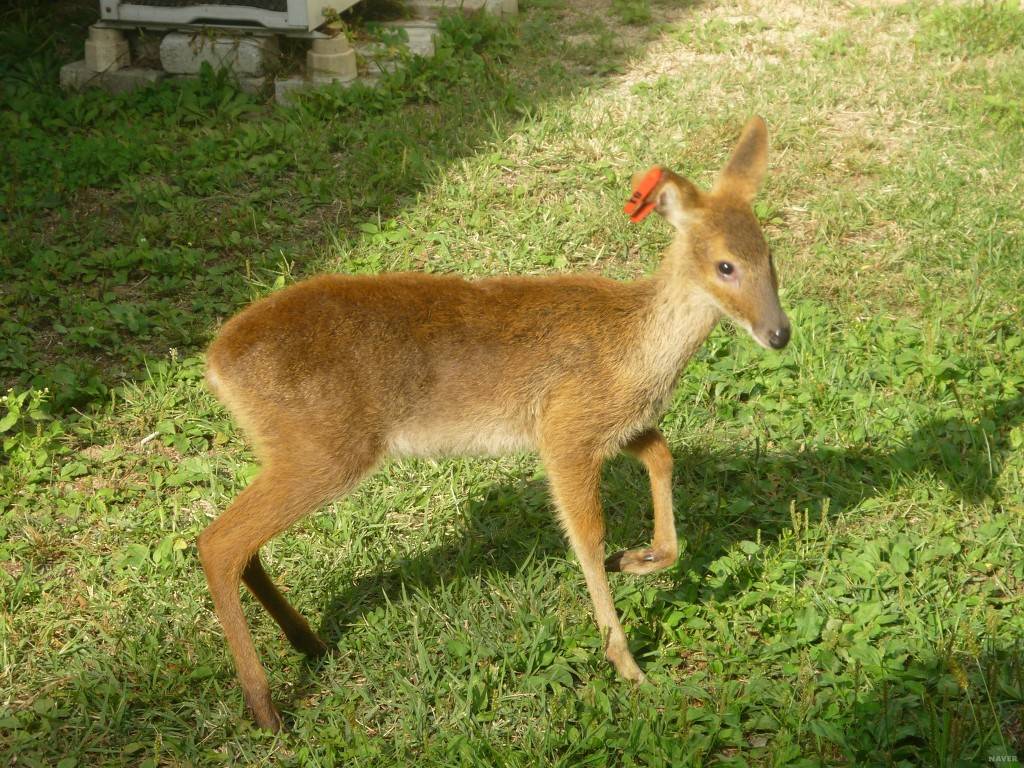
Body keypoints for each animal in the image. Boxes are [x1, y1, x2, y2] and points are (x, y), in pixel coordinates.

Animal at [199, 115, 790, 733]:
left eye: (769, 256)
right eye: (725, 265)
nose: (779, 333)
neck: (633, 346)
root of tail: (217, 363)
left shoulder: (613, 425)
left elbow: (663, 456)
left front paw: (640, 559)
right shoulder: (564, 431)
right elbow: (587, 537)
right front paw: (627, 663)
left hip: (293, 450)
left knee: (242, 546)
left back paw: (307, 644)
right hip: (323, 448)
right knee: (217, 543)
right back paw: (266, 707)